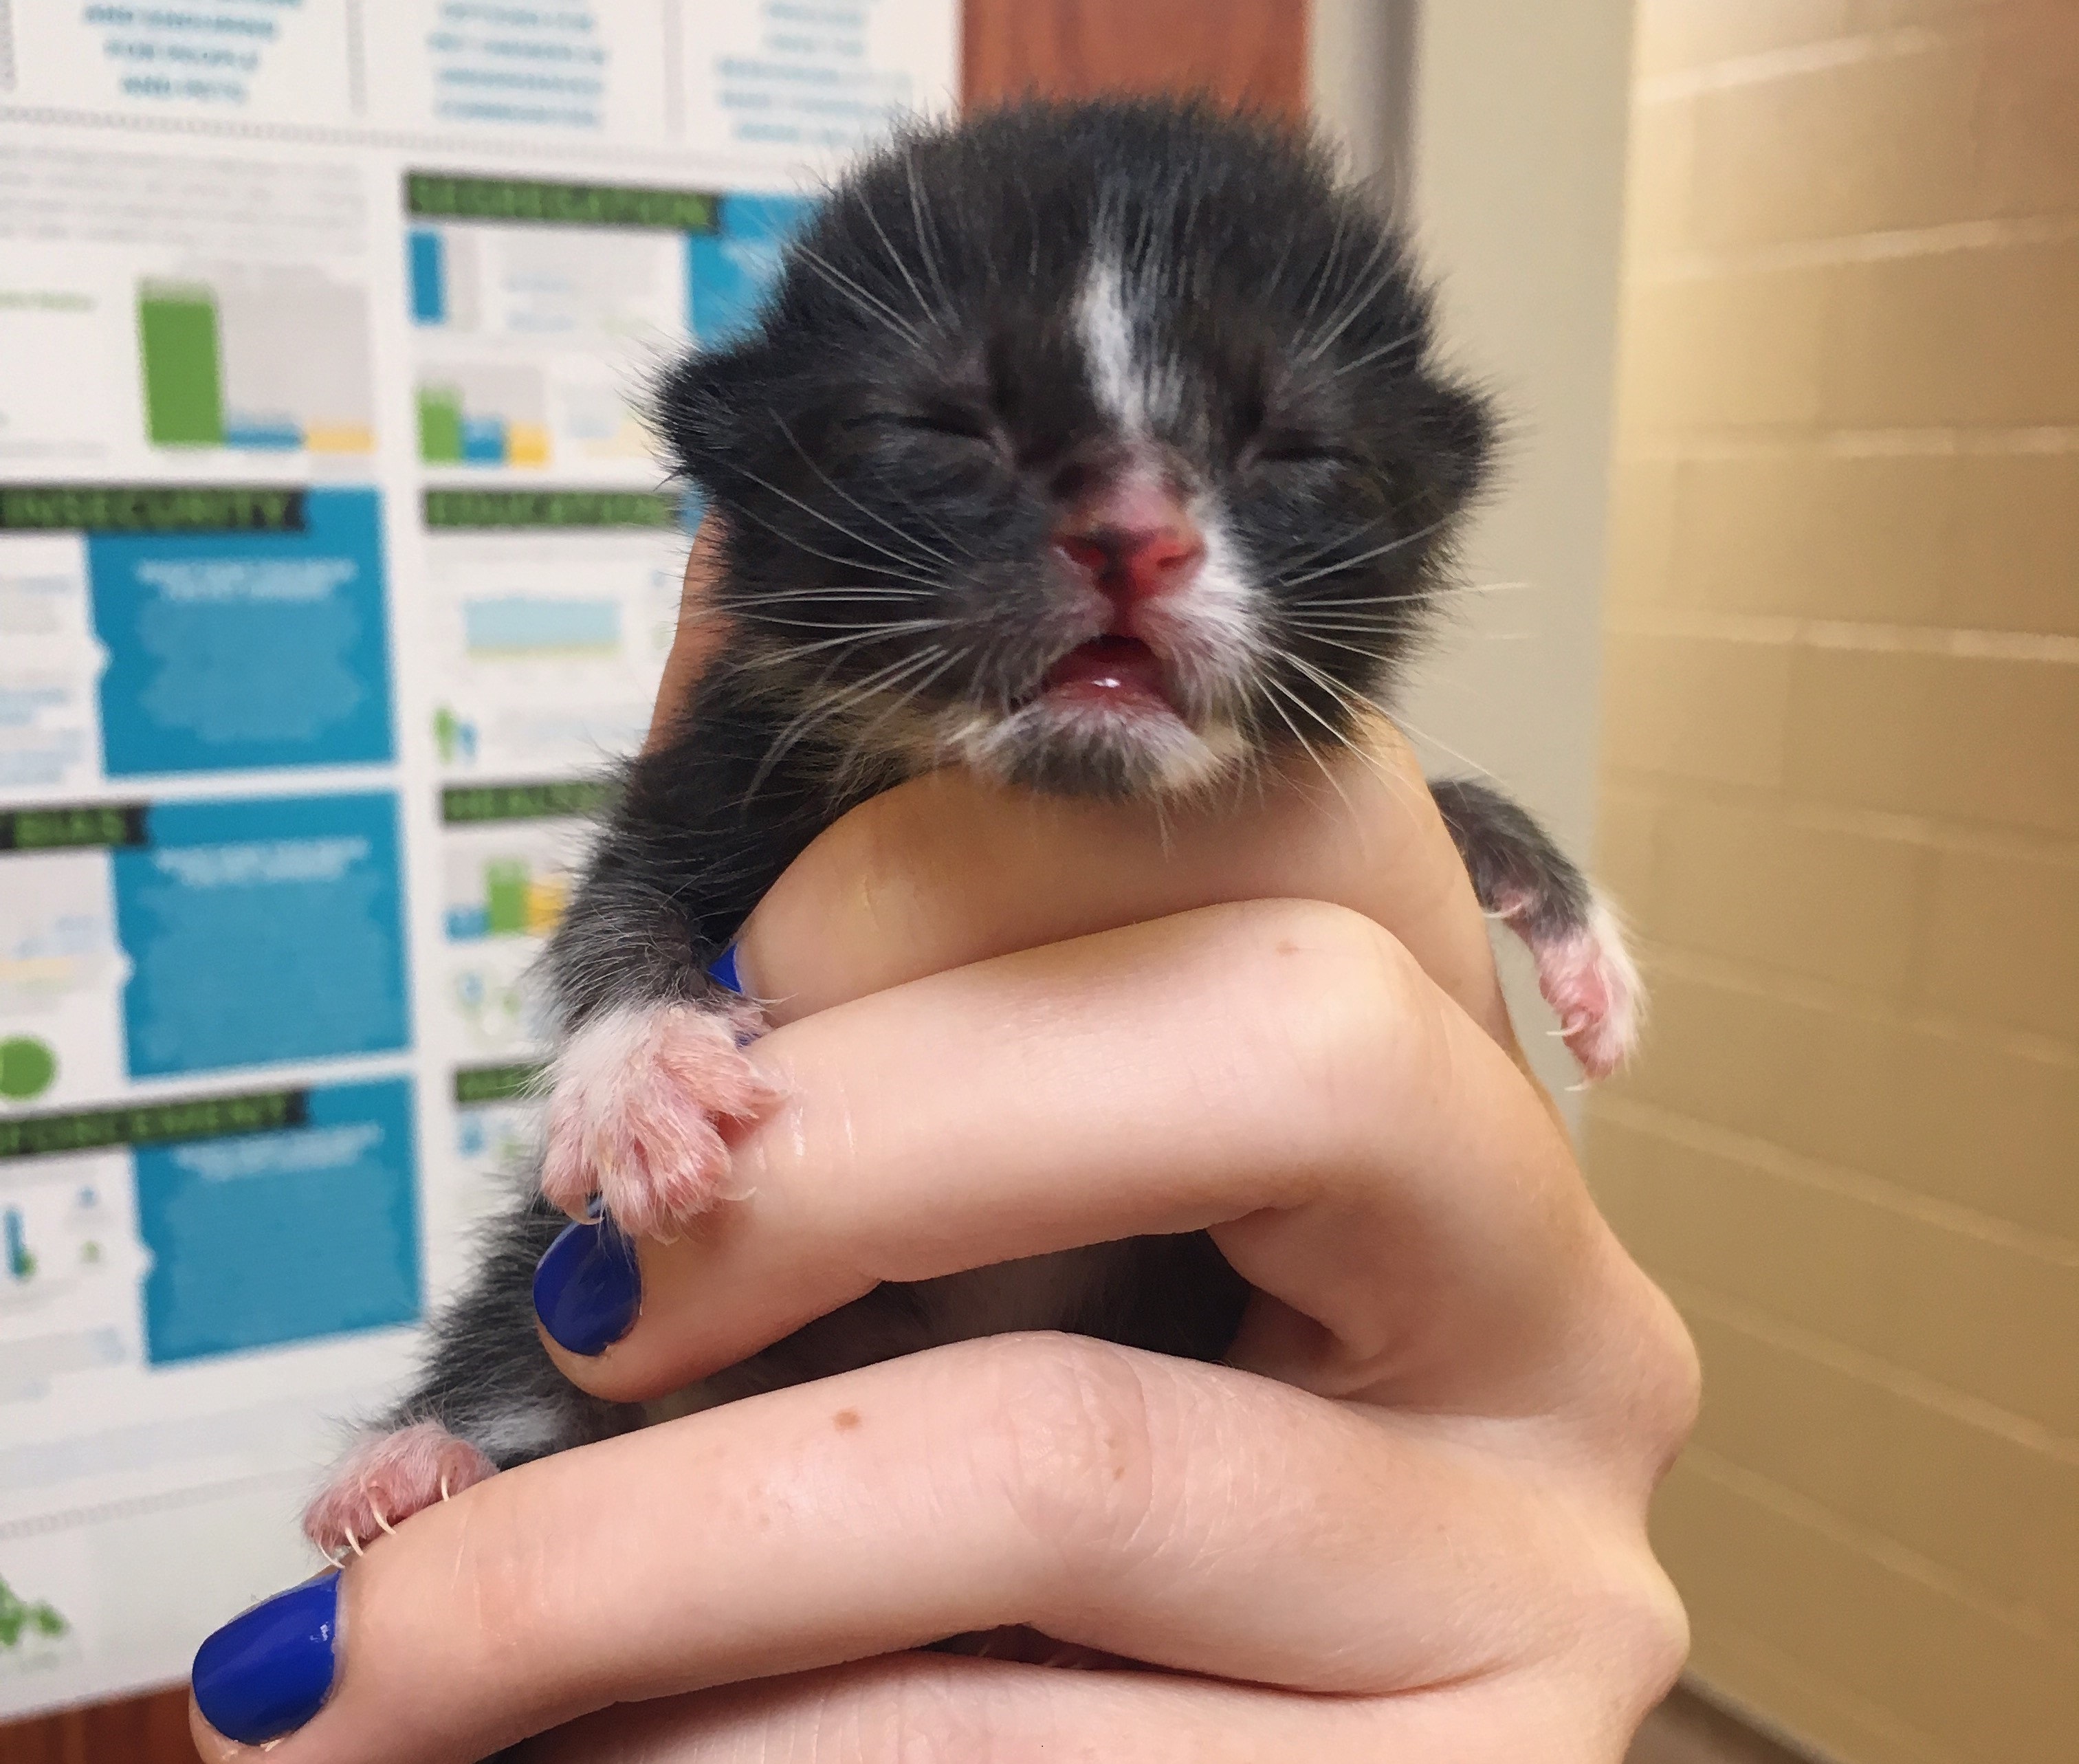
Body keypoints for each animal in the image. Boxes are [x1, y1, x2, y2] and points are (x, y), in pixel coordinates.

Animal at [303, 100, 1638, 1554]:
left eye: (1297, 450)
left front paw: (1556, 911)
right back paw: (419, 1459)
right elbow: (616, 899)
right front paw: (642, 1072)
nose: (1131, 534)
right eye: (936, 427)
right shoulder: (712, 766)